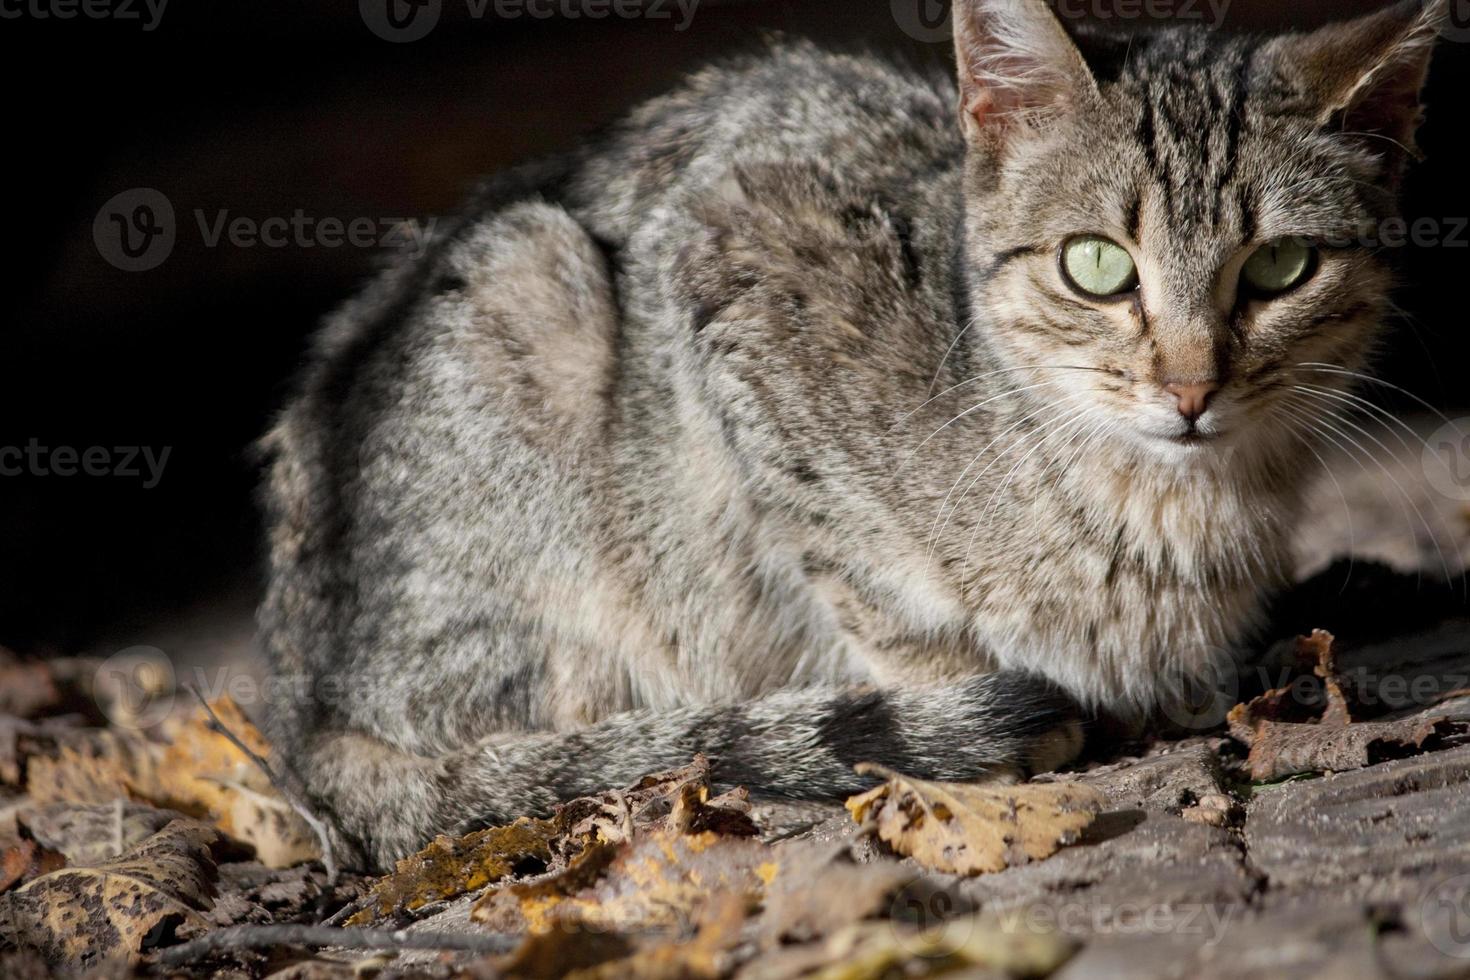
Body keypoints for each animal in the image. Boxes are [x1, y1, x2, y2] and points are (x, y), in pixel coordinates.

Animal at [261, 1, 1446, 875]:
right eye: (1098, 265)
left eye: (1281, 267)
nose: (1192, 386)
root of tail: (300, 702)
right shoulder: (733, 277)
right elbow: (873, 592)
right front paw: (963, 711)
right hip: (532, 290)